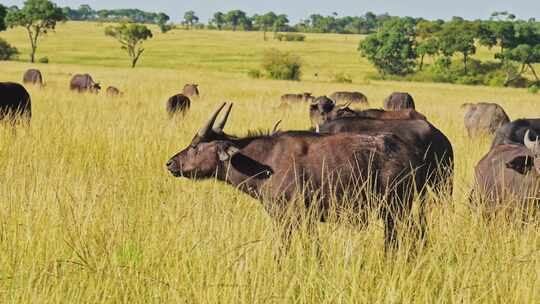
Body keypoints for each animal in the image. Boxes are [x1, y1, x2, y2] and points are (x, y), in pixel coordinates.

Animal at [167, 103, 428, 251]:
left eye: (195, 146)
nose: (170, 163)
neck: (264, 161)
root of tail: (409, 153)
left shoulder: (287, 217)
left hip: (396, 209)